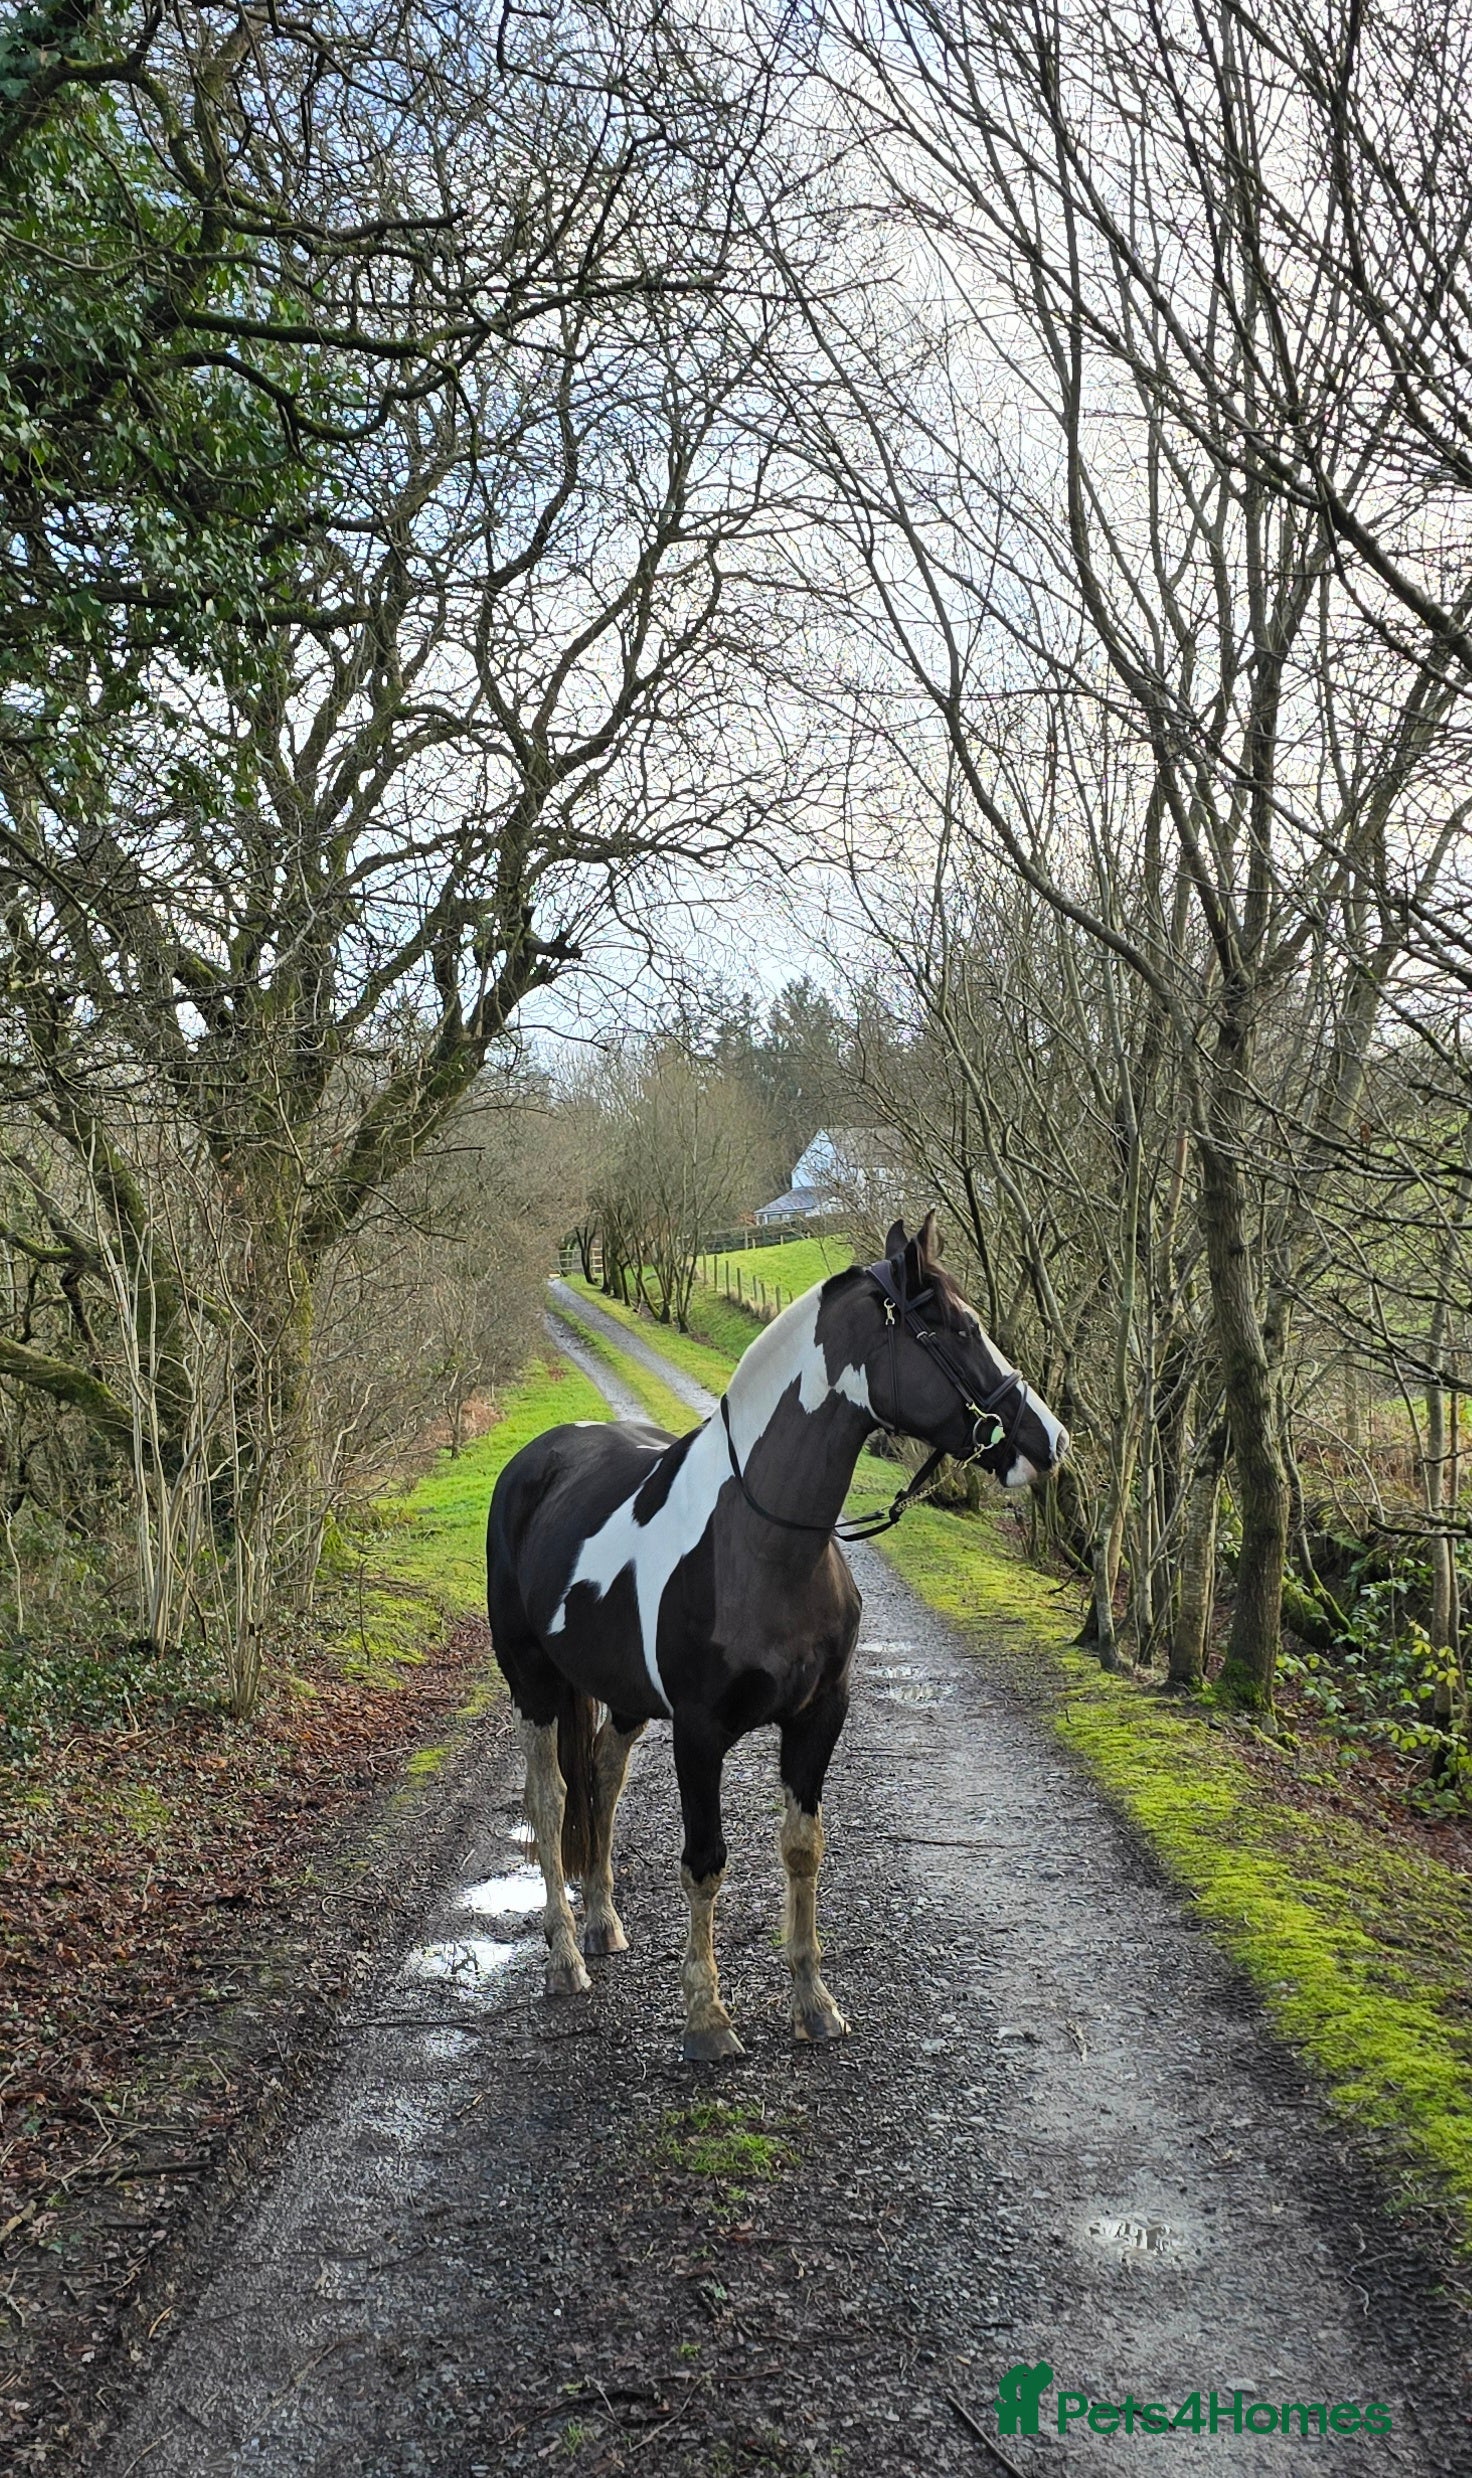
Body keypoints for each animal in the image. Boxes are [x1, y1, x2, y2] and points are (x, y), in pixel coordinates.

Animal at [485, 1212, 1068, 2060]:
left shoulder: (819, 1716)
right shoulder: (699, 1733)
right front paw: (706, 2018)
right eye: (956, 1328)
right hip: (534, 1682)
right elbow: (704, 1861)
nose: (1049, 1441)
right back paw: (564, 1956)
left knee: (599, 1777)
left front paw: (813, 2002)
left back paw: (602, 1923)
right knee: (550, 1797)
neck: (762, 1541)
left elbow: (802, 1850)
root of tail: (537, 1460)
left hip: (622, 1699)